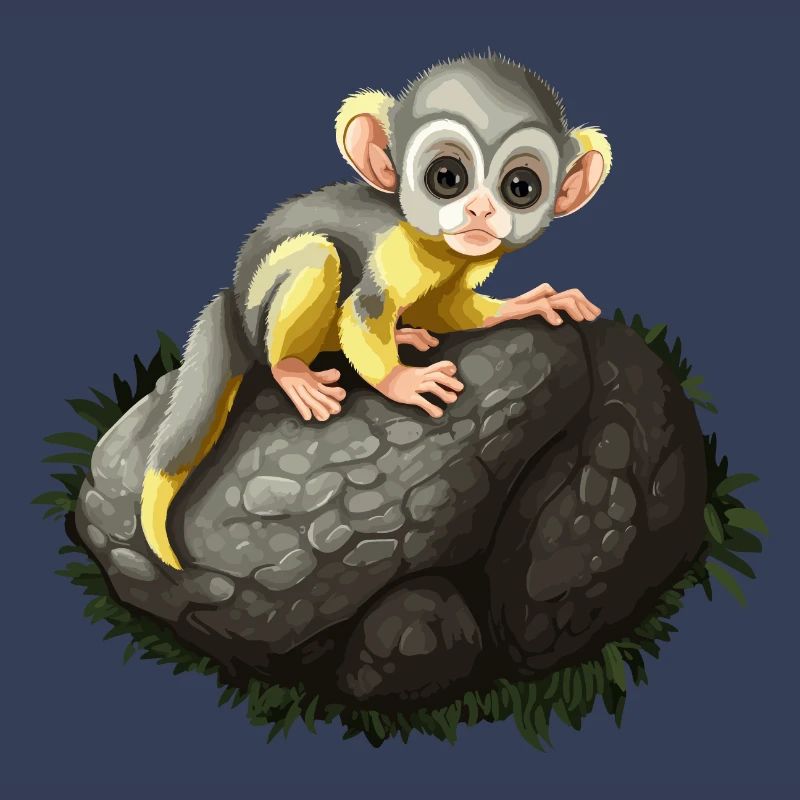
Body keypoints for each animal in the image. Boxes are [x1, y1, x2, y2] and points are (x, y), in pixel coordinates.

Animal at [141, 53, 612, 571]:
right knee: (316, 256)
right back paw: (292, 370)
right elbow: (364, 312)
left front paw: (528, 304)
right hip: (257, 310)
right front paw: (405, 381)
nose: (481, 213)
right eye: (447, 177)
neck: (430, 244)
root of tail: (233, 299)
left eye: (521, 187)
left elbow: (444, 309)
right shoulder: (392, 252)